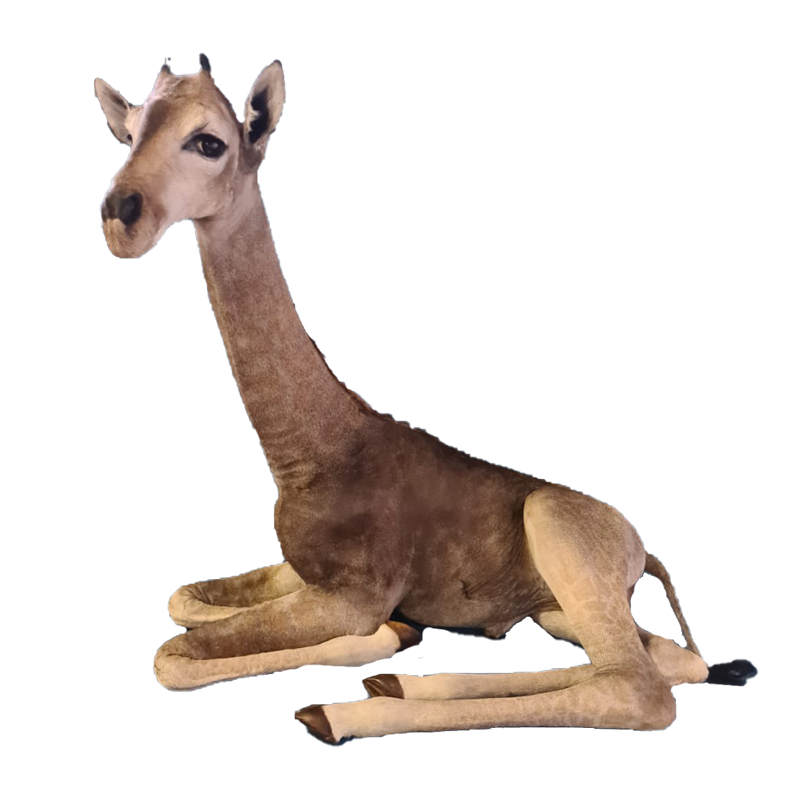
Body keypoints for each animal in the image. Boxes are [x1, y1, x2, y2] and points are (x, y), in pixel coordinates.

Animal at [95, 53, 755, 743]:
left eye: (209, 141)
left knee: (637, 688)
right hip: (557, 611)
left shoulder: (352, 594)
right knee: (669, 662)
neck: (313, 451)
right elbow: (183, 601)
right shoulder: (302, 574)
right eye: (129, 132)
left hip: (559, 541)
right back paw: (400, 684)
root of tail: (640, 545)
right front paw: (398, 640)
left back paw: (347, 709)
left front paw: (387, 643)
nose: (119, 213)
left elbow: (172, 656)